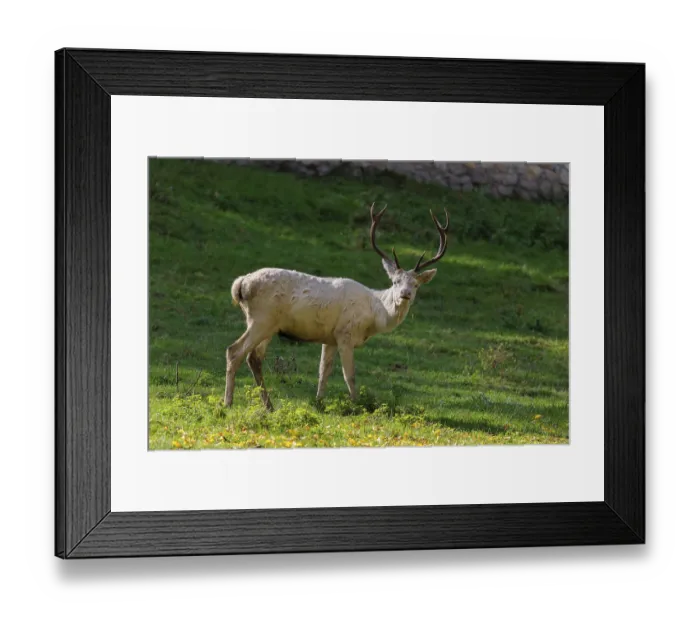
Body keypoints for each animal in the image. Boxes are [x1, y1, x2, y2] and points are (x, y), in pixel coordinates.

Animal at [224, 203, 449, 410]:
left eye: (416, 285)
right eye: (395, 282)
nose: (405, 295)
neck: (374, 317)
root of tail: (240, 284)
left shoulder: (329, 338)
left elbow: (324, 370)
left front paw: (319, 402)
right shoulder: (345, 334)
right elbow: (349, 374)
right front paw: (357, 405)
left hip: (269, 325)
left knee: (254, 358)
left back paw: (268, 406)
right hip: (261, 319)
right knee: (234, 351)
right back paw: (228, 403)